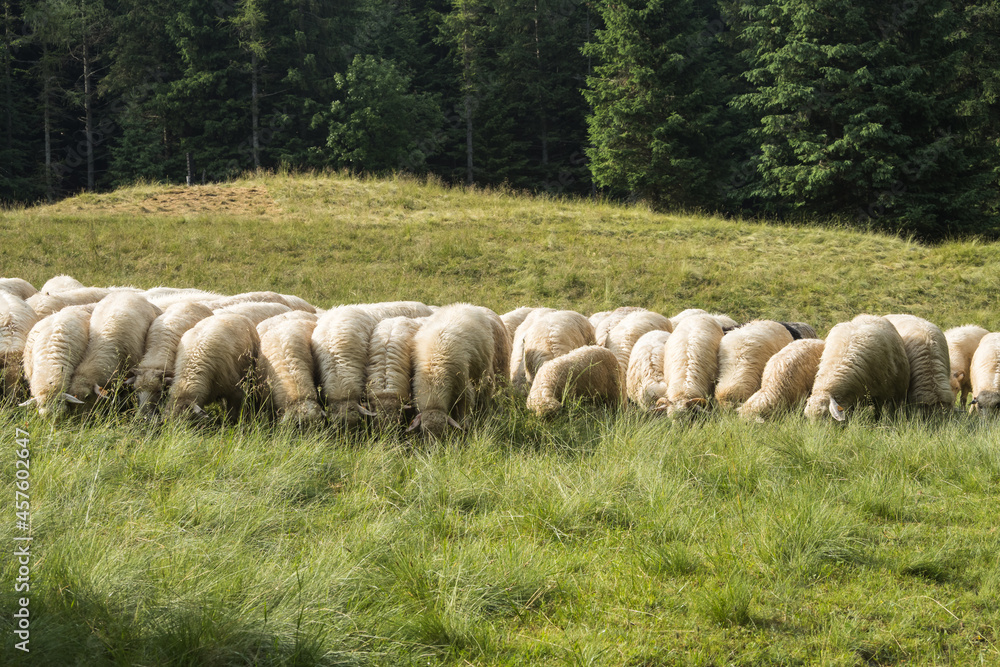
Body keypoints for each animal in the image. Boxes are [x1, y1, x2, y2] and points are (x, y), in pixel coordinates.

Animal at [409, 303, 499, 437]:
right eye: (424, 432)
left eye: (444, 432)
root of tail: (463, 304)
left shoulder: (464, 390)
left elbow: (463, 416)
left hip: (483, 370)